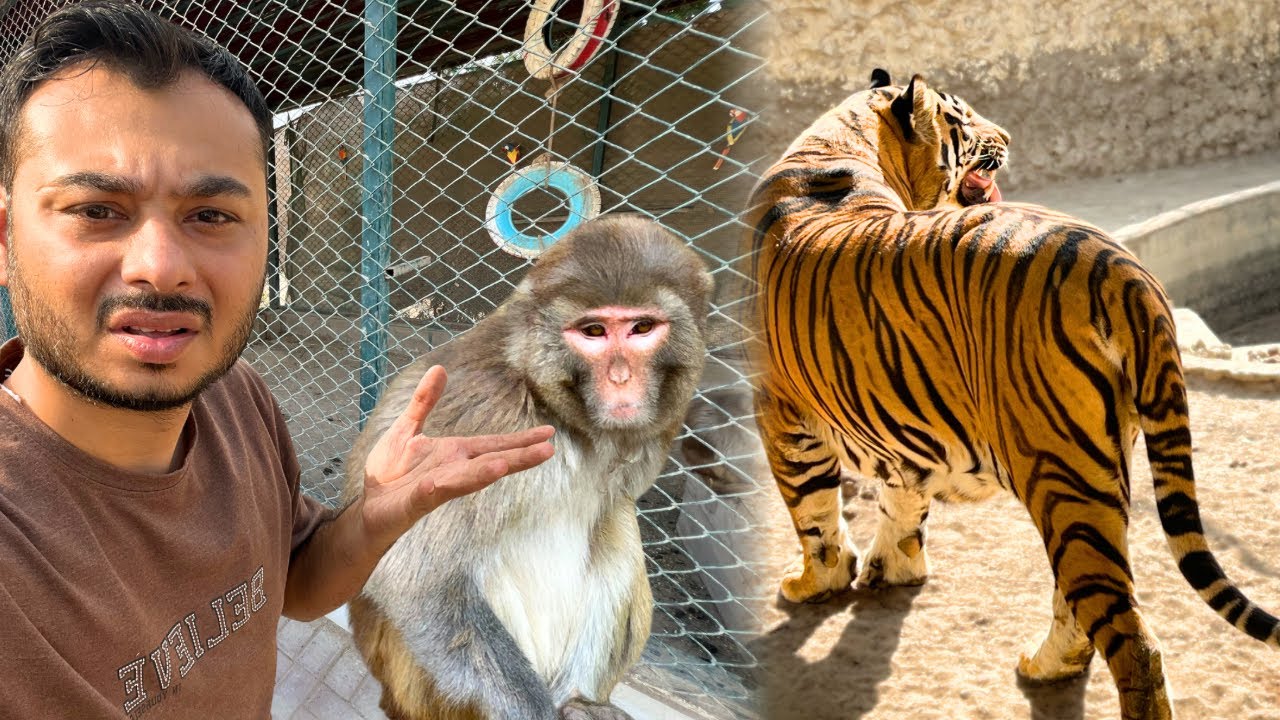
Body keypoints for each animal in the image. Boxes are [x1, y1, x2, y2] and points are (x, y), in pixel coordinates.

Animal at [341, 215, 714, 720]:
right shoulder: (480, 416)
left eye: (642, 327)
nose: (621, 379)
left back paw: (579, 701)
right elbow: (411, 580)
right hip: (419, 689)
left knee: (615, 519)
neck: (558, 413)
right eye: (593, 332)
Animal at [745, 68, 1279, 720]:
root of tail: (1121, 268)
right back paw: (1046, 665)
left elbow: (814, 516)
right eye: (964, 117)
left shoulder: (781, 413)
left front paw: (814, 584)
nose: (1006, 135)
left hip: (1061, 475)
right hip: (1097, 476)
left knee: (1131, 640)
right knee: (1081, 605)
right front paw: (894, 568)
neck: (839, 148)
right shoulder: (889, 427)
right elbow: (899, 501)